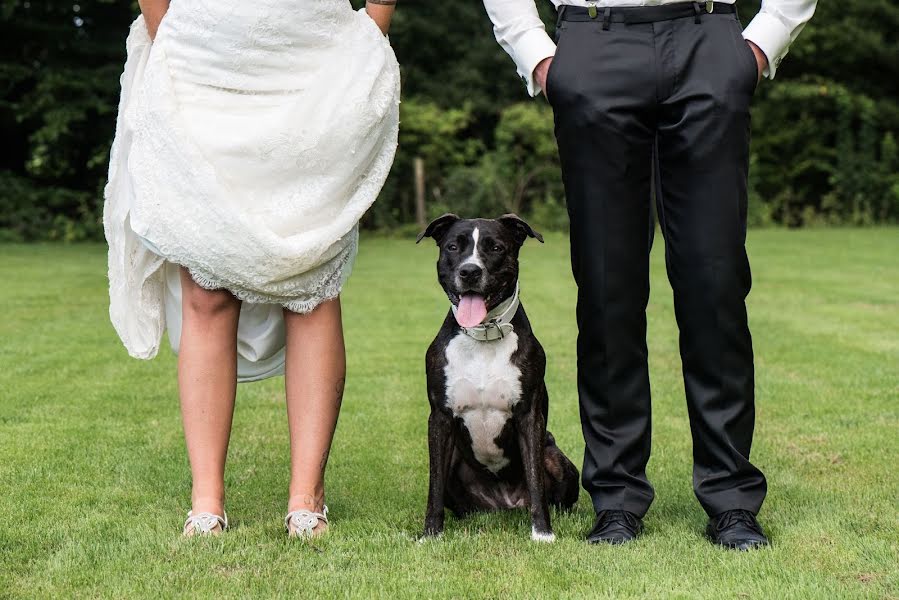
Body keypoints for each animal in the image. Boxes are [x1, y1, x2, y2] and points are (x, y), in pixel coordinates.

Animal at [418, 213, 580, 540]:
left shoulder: (529, 417)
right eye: (453, 246)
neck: (484, 336)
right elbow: (434, 486)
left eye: (495, 248)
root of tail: (504, 505)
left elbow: (536, 481)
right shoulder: (439, 418)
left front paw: (542, 534)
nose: (470, 271)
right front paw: (431, 535)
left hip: (554, 455)